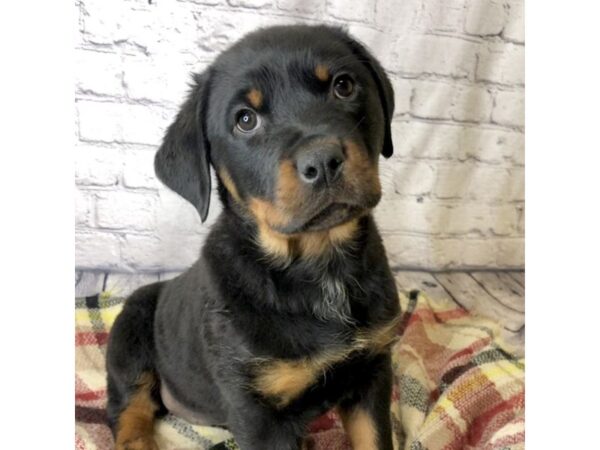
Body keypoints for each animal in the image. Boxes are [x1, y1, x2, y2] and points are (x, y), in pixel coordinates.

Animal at [106, 25, 400, 450]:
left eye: (344, 86)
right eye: (245, 120)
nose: (322, 161)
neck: (320, 264)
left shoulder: (371, 370)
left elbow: (374, 439)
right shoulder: (257, 411)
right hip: (129, 339)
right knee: (128, 407)